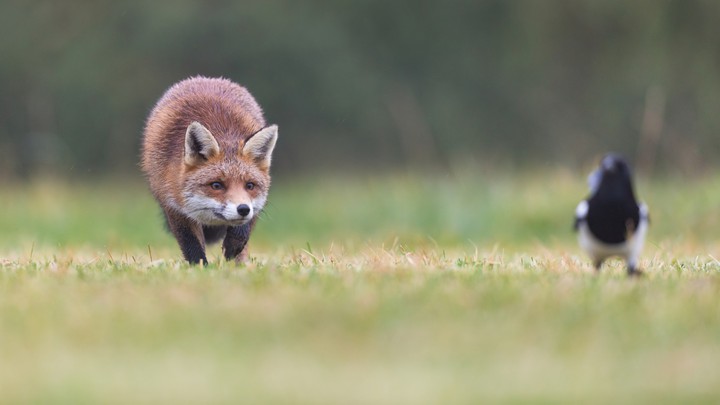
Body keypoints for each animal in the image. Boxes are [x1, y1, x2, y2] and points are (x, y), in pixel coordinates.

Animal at [141, 76, 278, 264]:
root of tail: (204, 78)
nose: (243, 209)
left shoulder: (256, 205)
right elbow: (191, 245)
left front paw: (233, 249)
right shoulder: (174, 206)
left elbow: (242, 234)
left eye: (250, 186)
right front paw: (200, 267)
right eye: (216, 185)